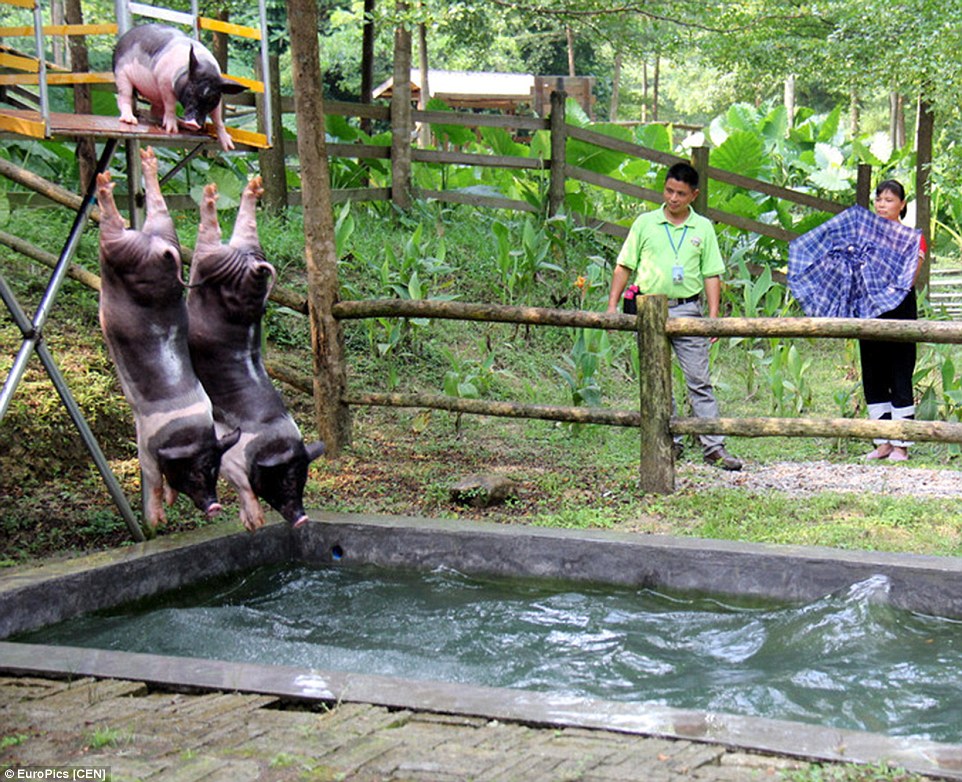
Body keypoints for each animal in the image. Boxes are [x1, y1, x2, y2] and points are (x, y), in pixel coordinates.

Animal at [97, 145, 238, 532]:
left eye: (215, 471)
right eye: (194, 473)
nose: (215, 506)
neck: (185, 433)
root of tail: (161, 247)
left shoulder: (145, 440)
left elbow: (155, 480)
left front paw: (159, 517)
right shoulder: (147, 443)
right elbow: (153, 479)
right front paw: (158, 517)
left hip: (133, 241)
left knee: (127, 218)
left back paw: (111, 178)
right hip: (157, 235)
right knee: (149, 211)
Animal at [113, 23, 248, 152]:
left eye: (212, 99)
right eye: (190, 92)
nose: (194, 124)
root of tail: (123, 38)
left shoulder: (218, 99)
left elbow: (218, 118)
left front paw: (229, 146)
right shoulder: (164, 81)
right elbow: (170, 104)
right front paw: (171, 130)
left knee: (155, 112)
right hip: (121, 74)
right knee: (123, 97)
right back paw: (130, 120)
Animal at [186, 178, 324, 532]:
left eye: (304, 478)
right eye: (285, 478)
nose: (303, 518)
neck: (267, 440)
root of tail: (253, 264)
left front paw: (252, 524)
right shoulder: (232, 457)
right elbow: (242, 483)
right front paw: (254, 522)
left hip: (231, 251)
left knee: (231, 225)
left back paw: (240, 190)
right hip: (215, 259)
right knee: (208, 236)